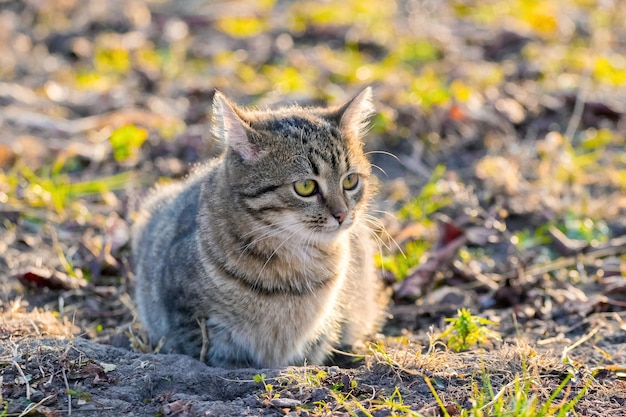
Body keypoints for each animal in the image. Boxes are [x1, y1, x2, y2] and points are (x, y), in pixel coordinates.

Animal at [132, 88, 386, 368]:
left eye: (350, 181)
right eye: (305, 186)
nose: (342, 214)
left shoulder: (323, 328)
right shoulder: (189, 319)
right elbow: (210, 353)